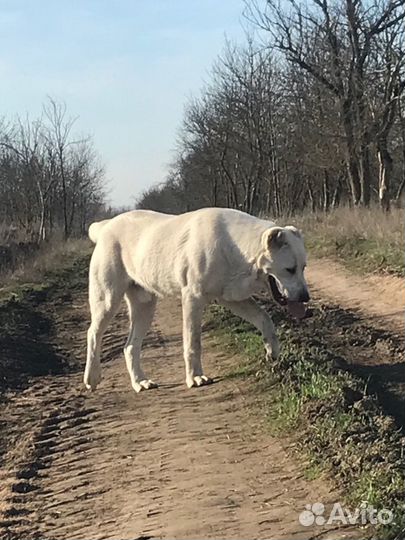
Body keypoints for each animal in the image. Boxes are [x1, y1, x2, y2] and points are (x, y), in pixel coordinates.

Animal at [83, 208, 310, 392]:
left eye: (303, 267)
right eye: (289, 269)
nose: (305, 297)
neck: (237, 248)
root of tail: (106, 225)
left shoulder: (231, 299)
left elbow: (265, 319)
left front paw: (272, 352)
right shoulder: (193, 298)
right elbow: (193, 342)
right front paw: (196, 377)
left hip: (144, 307)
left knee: (130, 346)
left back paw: (140, 382)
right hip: (107, 299)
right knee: (93, 333)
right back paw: (92, 377)